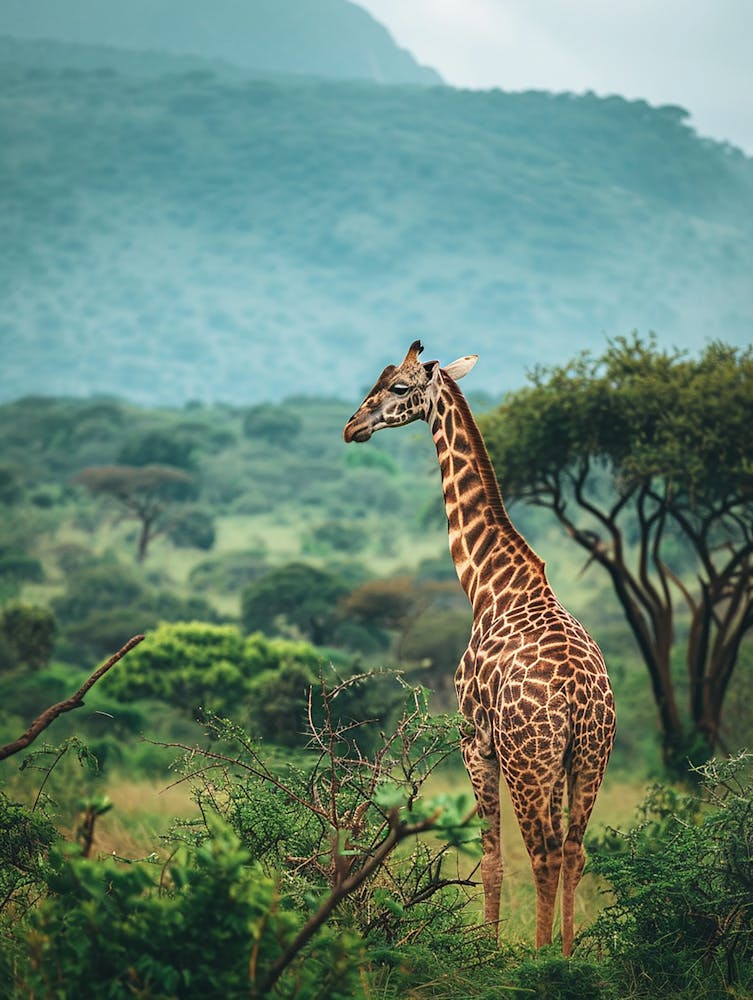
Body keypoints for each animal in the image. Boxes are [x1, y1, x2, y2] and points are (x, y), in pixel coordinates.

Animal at [343, 340, 616, 955]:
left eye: (398, 387)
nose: (352, 427)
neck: (489, 583)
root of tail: (580, 697)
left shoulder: (475, 739)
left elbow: (490, 857)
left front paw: (487, 952)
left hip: (526, 760)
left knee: (542, 853)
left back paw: (538, 959)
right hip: (588, 758)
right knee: (573, 850)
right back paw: (567, 956)